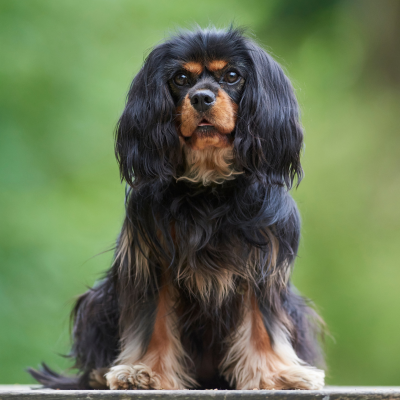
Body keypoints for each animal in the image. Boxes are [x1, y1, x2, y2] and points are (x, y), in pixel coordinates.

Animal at [30, 27, 324, 390]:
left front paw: (276, 375)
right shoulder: (154, 259)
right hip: (97, 302)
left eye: (232, 76)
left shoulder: (262, 263)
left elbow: (262, 324)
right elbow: (153, 321)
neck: (210, 186)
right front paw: (144, 372)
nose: (201, 98)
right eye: (181, 79)